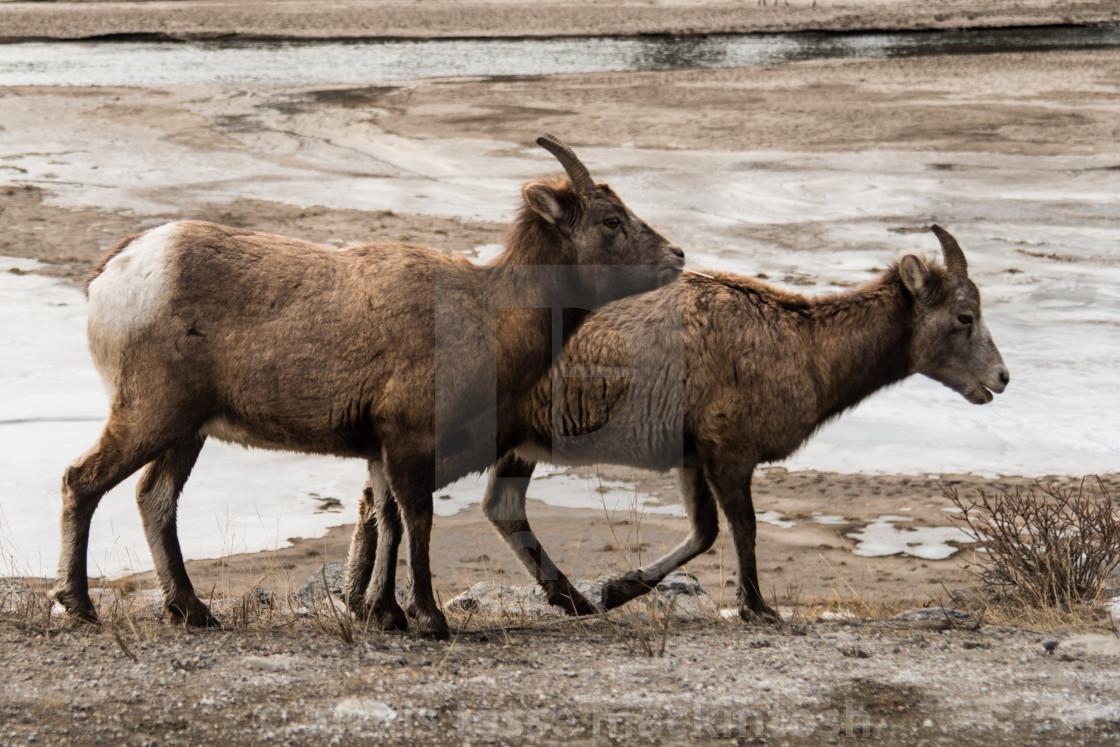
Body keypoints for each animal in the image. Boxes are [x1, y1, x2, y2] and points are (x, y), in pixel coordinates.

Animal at [54, 135, 684, 638]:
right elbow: (417, 521)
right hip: (151, 415)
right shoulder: (410, 442)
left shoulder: (381, 450)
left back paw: (194, 611)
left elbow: (386, 521)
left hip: (187, 431)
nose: (676, 255)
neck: (488, 315)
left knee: (154, 500)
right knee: (83, 481)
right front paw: (429, 619)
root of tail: (115, 272)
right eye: (610, 220)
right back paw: (82, 608)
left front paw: (385, 614)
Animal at [355, 225, 1008, 622]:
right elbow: (742, 529)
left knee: (491, 506)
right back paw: (381, 605)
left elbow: (704, 532)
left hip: (517, 444)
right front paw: (758, 608)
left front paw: (618, 588)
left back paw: (568, 600)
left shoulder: (694, 456)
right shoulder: (728, 447)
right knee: (393, 499)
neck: (802, 347)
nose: (1000, 379)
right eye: (963, 315)